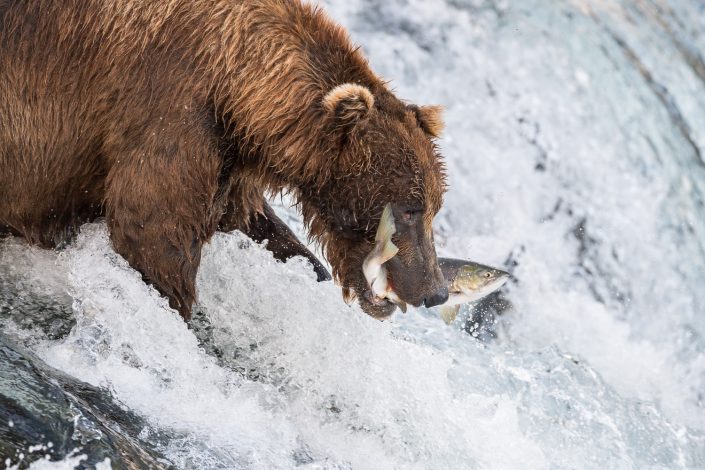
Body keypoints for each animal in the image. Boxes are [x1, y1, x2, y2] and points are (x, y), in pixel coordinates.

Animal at [0, 0, 448, 320]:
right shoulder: (171, 108)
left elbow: (254, 223)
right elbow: (151, 232)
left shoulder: (229, 157)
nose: (436, 291)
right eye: (410, 209)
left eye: (433, 208)